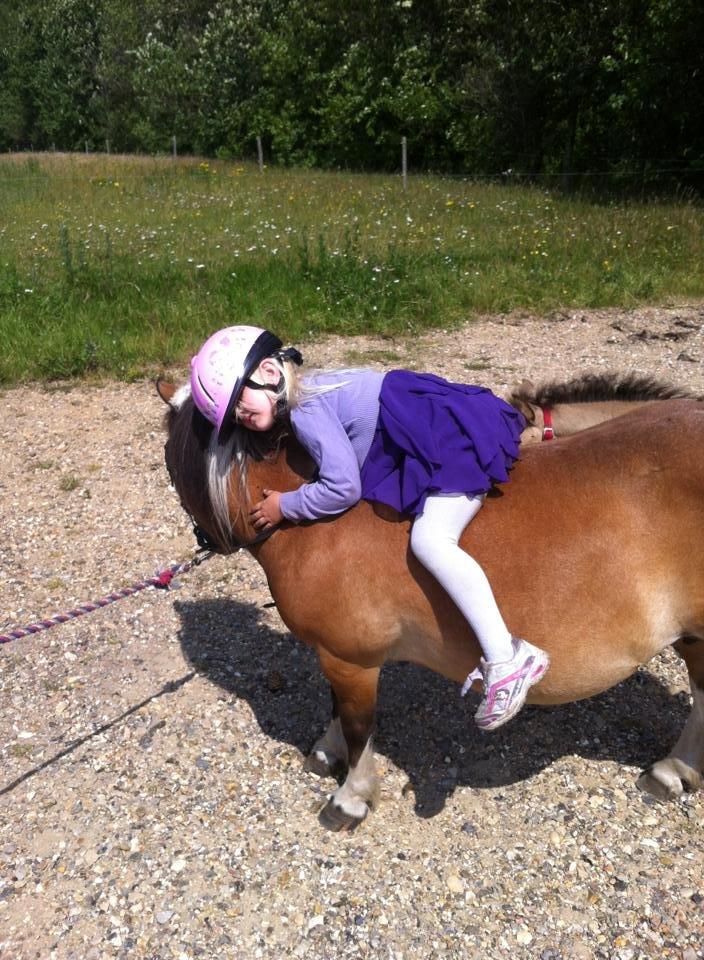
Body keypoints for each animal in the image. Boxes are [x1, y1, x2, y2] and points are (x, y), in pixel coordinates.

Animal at [157, 373, 704, 831]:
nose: (207, 539)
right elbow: (335, 708)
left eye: (167, 456)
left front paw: (350, 797)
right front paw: (326, 753)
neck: (312, 525)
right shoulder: (334, 654)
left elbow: (358, 725)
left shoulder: (351, 660)